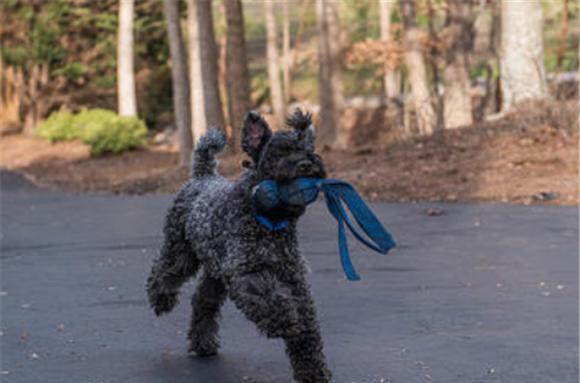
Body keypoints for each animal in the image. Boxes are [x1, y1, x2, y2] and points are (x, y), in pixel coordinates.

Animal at [146, 109, 330, 382]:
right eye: (279, 151)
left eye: (308, 150)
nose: (306, 164)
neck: (269, 221)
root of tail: (203, 176)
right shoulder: (246, 272)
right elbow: (270, 299)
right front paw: (285, 320)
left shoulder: (293, 279)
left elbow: (307, 327)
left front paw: (313, 371)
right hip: (181, 252)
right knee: (164, 271)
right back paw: (161, 299)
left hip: (215, 273)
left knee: (203, 301)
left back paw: (203, 343)